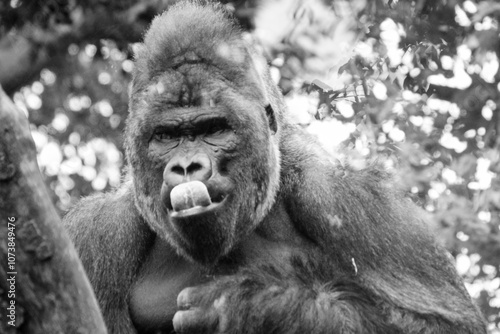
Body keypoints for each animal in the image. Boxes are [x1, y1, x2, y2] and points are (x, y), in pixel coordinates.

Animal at [63, 1, 488, 332]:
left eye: (214, 129)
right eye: (166, 136)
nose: (187, 168)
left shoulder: (347, 196)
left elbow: (445, 323)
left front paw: (254, 308)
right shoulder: (94, 233)